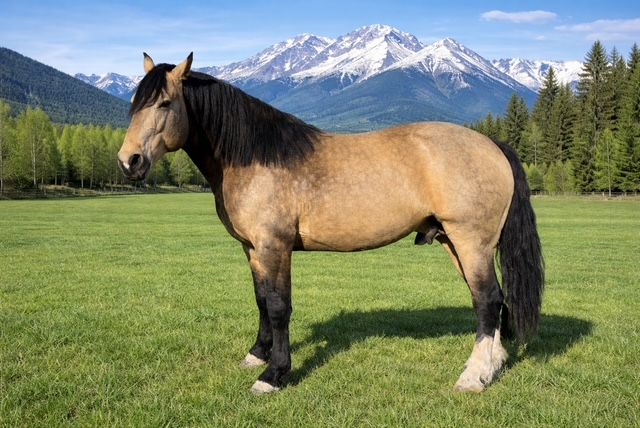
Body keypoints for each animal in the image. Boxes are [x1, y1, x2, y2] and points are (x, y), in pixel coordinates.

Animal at [118, 53, 544, 394]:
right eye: (134, 105)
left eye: (164, 103)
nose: (129, 161)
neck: (256, 157)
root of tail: (491, 145)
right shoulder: (252, 248)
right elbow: (260, 299)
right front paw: (257, 355)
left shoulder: (275, 246)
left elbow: (278, 306)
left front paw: (273, 375)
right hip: (456, 243)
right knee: (492, 300)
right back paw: (493, 365)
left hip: (471, 241)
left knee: (487, 300)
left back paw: (473, 377)